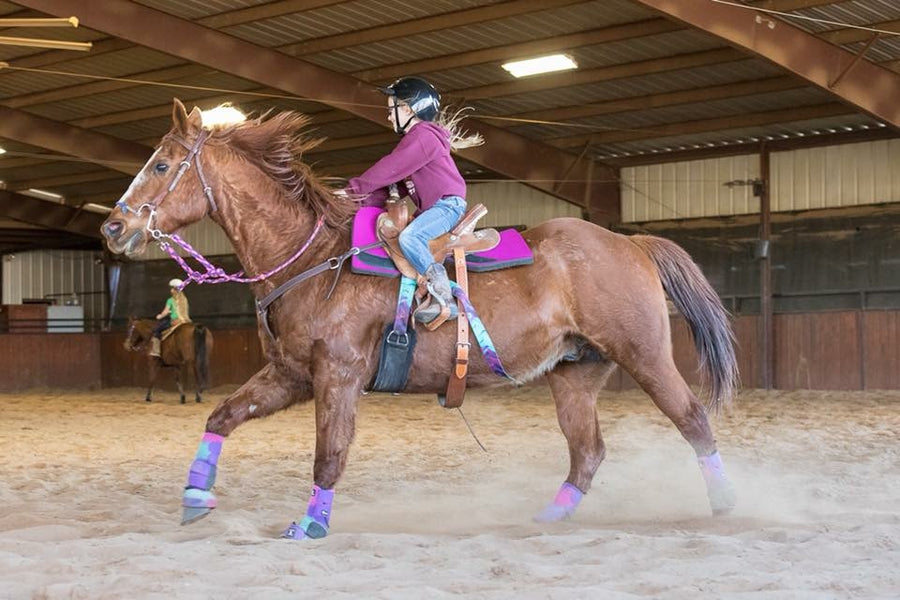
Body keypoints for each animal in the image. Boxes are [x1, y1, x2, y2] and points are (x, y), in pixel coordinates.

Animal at [102, 101, 740, 540]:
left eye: (161, 164)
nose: (114, 226)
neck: (313, 258)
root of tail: (630, 242)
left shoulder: (338, 377)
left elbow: (329, 454)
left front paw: (310, 525)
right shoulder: (291, 375)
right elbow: (222, 416)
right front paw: (194, 499)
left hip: (646, 355)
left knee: (694, 423)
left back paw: (728, 505)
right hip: (575, 373)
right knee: (587, 452)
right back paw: (545, 518)